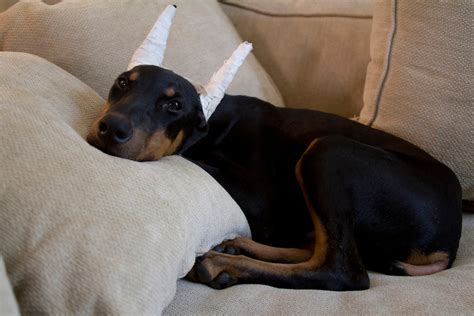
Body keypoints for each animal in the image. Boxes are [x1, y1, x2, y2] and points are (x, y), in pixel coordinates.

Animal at [87, 66, 464, 292]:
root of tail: (450, 241)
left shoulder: (258, 198)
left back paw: (225, 262)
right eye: (123, 82)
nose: (111, 128)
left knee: (343, 269)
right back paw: (236, 247)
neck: (208, 126)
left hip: (328, 151)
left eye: (174, 104)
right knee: (316, 247)